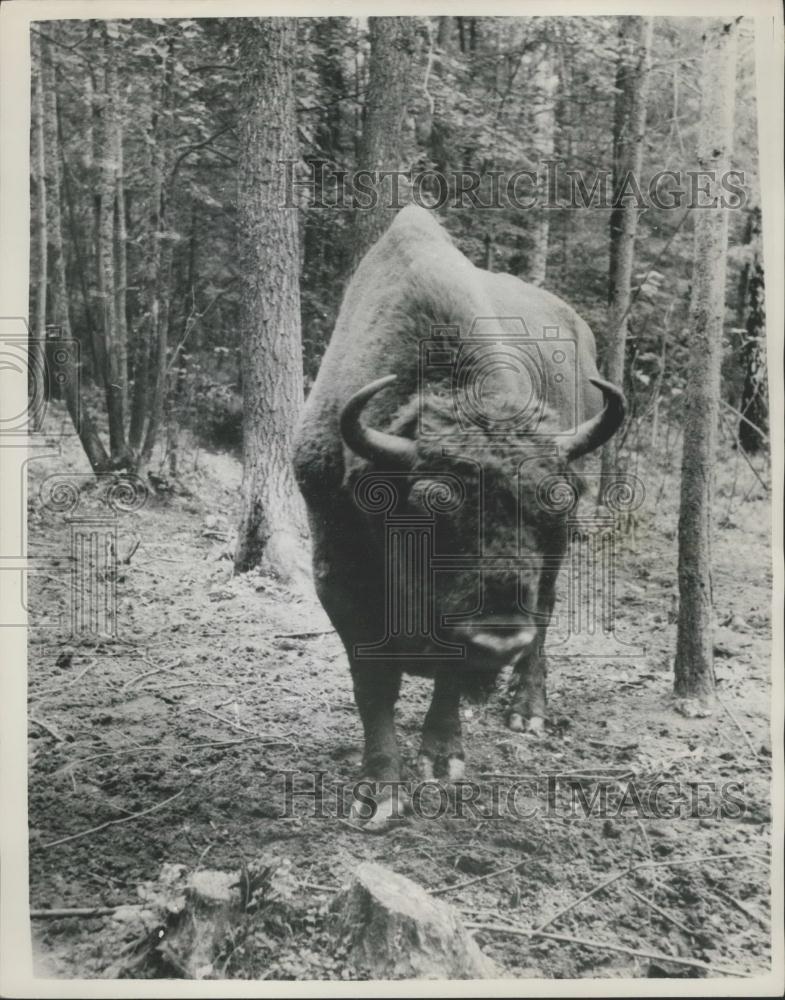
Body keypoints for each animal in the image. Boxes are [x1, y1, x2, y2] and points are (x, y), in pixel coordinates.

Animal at [294, 205, 624, 828]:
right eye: (430, 502)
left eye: (554, 498)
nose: (497, 633)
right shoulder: (339, 580)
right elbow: (374, 685)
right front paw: (381, 790)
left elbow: (448, 672)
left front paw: (443, 756)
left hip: (557, 557)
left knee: (545, 615)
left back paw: (525, 709)